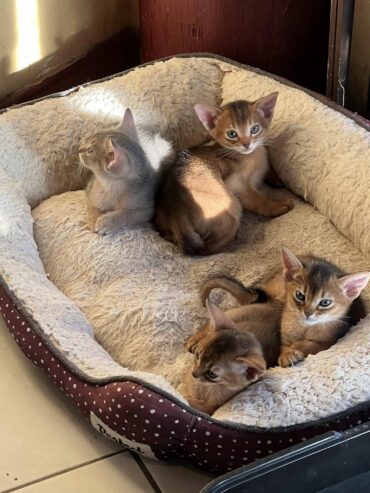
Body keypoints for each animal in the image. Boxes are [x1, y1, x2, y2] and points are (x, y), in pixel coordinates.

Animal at [153, 91, 292, 254]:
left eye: (254, 129)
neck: (252, 155)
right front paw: (275, 206)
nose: (247, 144)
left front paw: (275, 178)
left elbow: (268, 168)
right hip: (233, 205)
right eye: (232, 134)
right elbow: (258, 198)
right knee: (208, 249)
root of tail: (178, 221)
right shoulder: (236, 184)